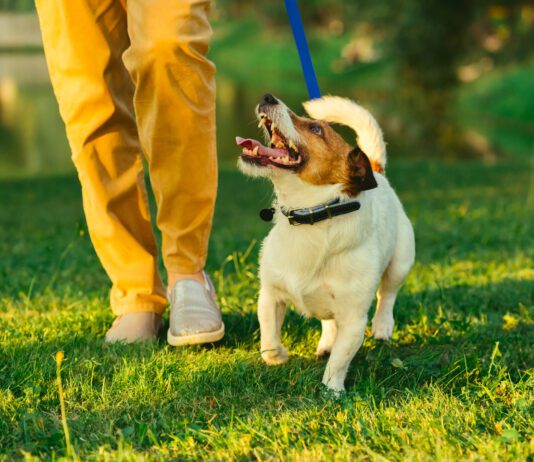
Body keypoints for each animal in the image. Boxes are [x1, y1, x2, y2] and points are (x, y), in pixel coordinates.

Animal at [237, 94, 416, 394]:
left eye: (316, 129)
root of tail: (376, 170)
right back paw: (326, 343)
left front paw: (332, 391)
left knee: (387, 294)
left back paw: (382, 327)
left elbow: (340, 360)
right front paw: (277, 356)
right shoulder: (270, 294)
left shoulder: (354, 320)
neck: (310, 216)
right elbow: (269, 334)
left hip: (401, 262)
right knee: (329, 321)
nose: (268, 97)